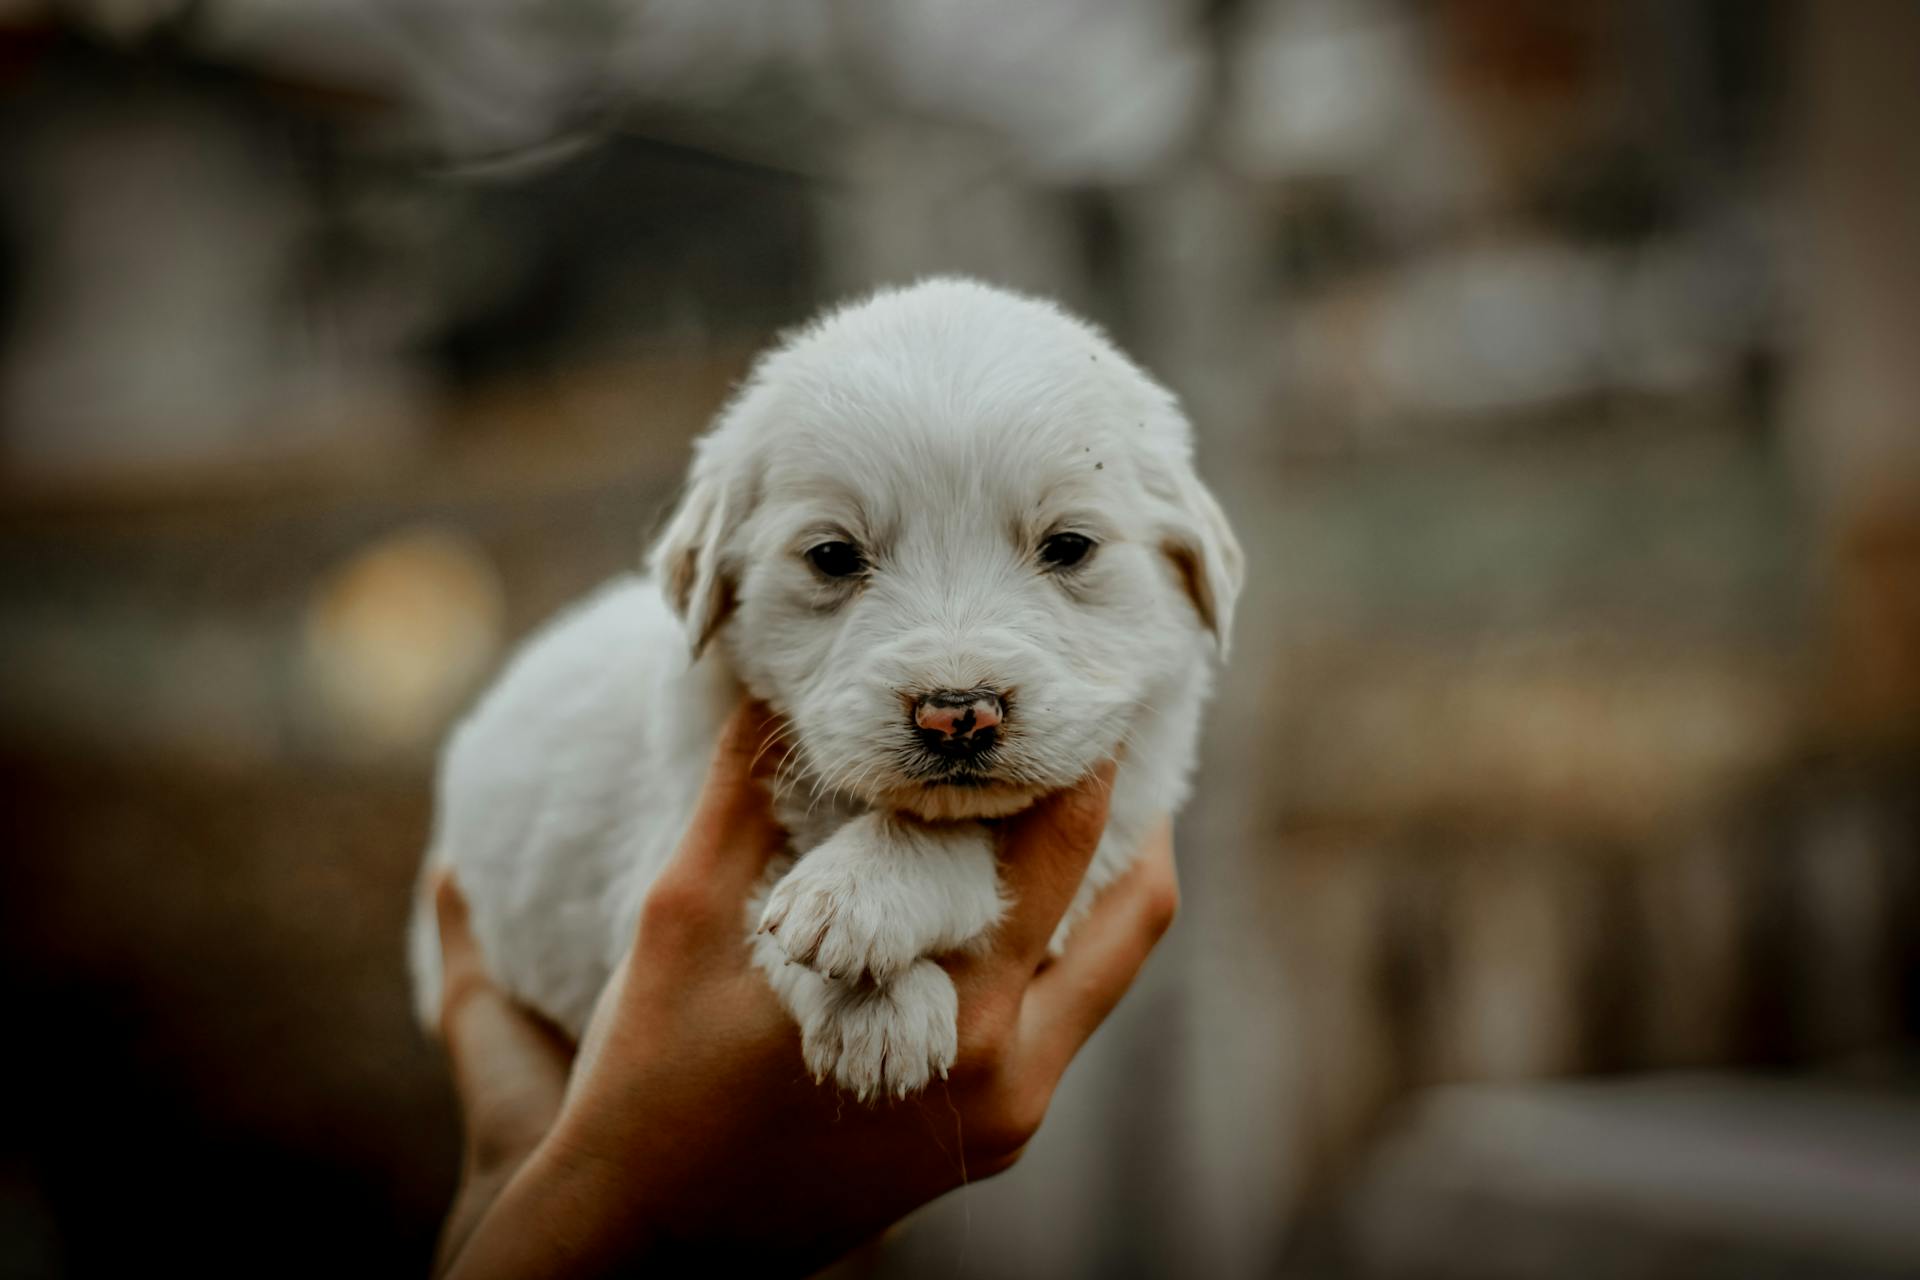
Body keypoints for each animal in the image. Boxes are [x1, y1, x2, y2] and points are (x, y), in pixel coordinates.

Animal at [408, 278, 1244, 1105]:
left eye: (1069, 547)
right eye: (834, 556)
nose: (957, 715)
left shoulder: (1126, 802)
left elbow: (963, 838)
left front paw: (857, 894)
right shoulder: (658, 867)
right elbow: (766, 901)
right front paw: (879, 1009)